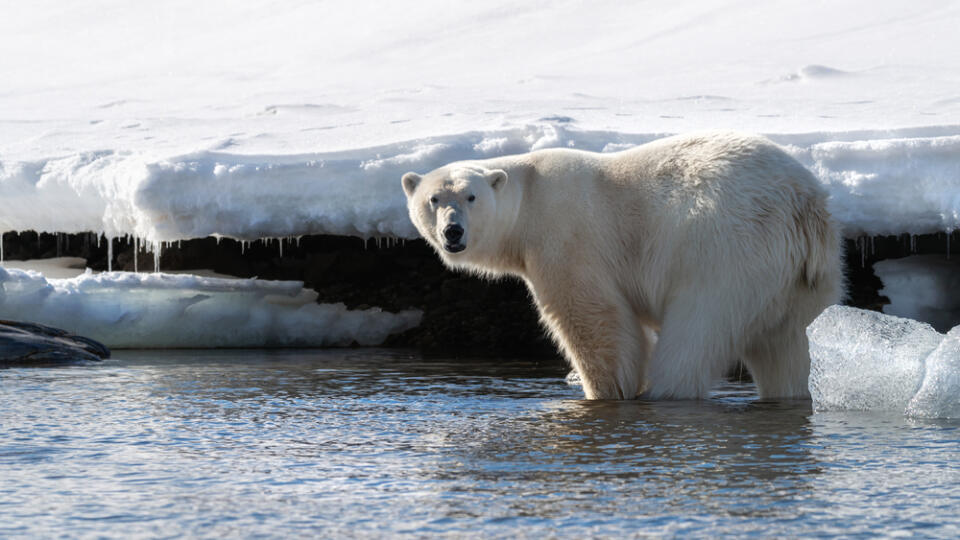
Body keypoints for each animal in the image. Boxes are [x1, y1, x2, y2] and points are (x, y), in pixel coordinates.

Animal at [398, 131, 840, 400]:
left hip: (727, 256)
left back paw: (664, 391)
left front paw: (605, 391)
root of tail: (803, 206)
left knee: (693, 337)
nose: (453, 231)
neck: (529, 200)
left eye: (471, 197)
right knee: (788, 348)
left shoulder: (567, 238)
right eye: (434, 199)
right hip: (800, 280)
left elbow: (596, 320)